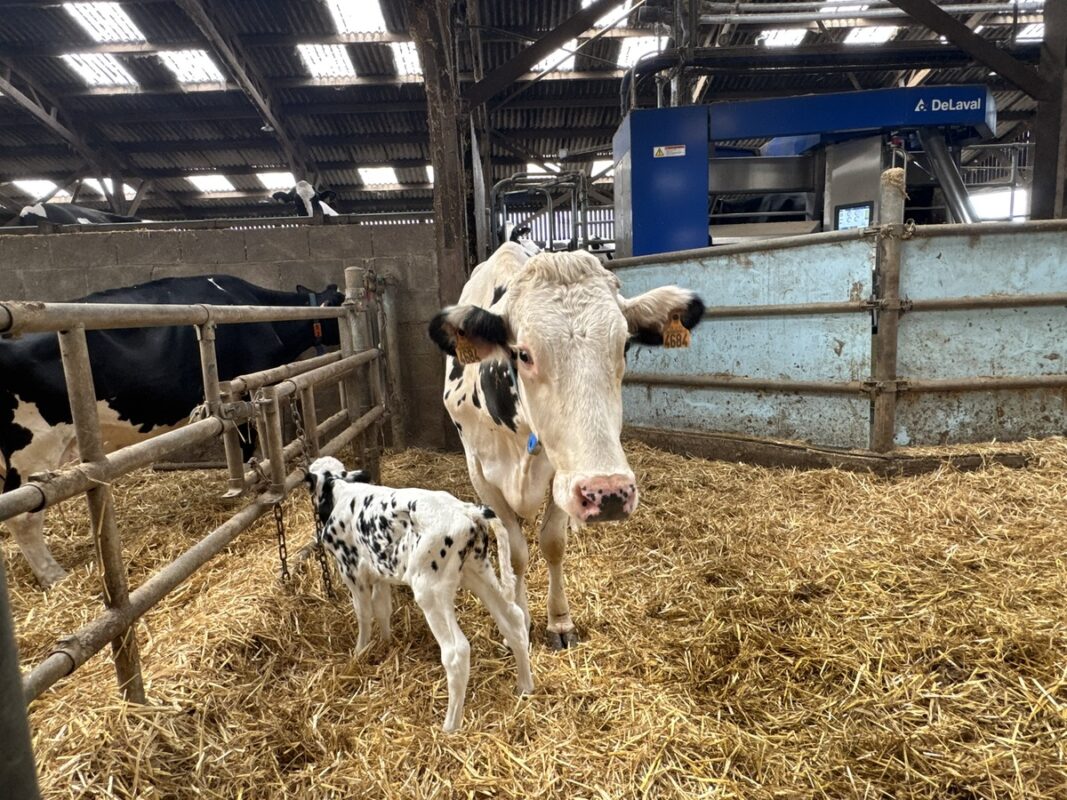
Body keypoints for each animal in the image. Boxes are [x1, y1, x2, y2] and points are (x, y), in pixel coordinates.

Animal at [0, 274, 343, 587]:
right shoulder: (241, 391)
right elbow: (248, 445)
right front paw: (252, 486)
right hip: (32, 447)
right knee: (23, 517)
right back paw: (54, 576)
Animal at [304, 456, 533, 732]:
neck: (340, 490)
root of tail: (467, 510)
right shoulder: (380, 571)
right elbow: (382, 608)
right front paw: (386, 643)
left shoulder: (352, 570)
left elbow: (363, 613)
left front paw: (359, 652)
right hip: (476, 570)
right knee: (513, 620)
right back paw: (525, 687)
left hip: (430, 590)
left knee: (456, 651)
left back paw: (450, 726)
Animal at [428, 243, 704, 648]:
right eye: (523, 353)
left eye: (624, 345)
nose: (609, 492)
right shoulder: (479, 469)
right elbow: (517, 552)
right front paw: (519, 617)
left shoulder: (561, 473)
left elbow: (552, 543)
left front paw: (559, 622)